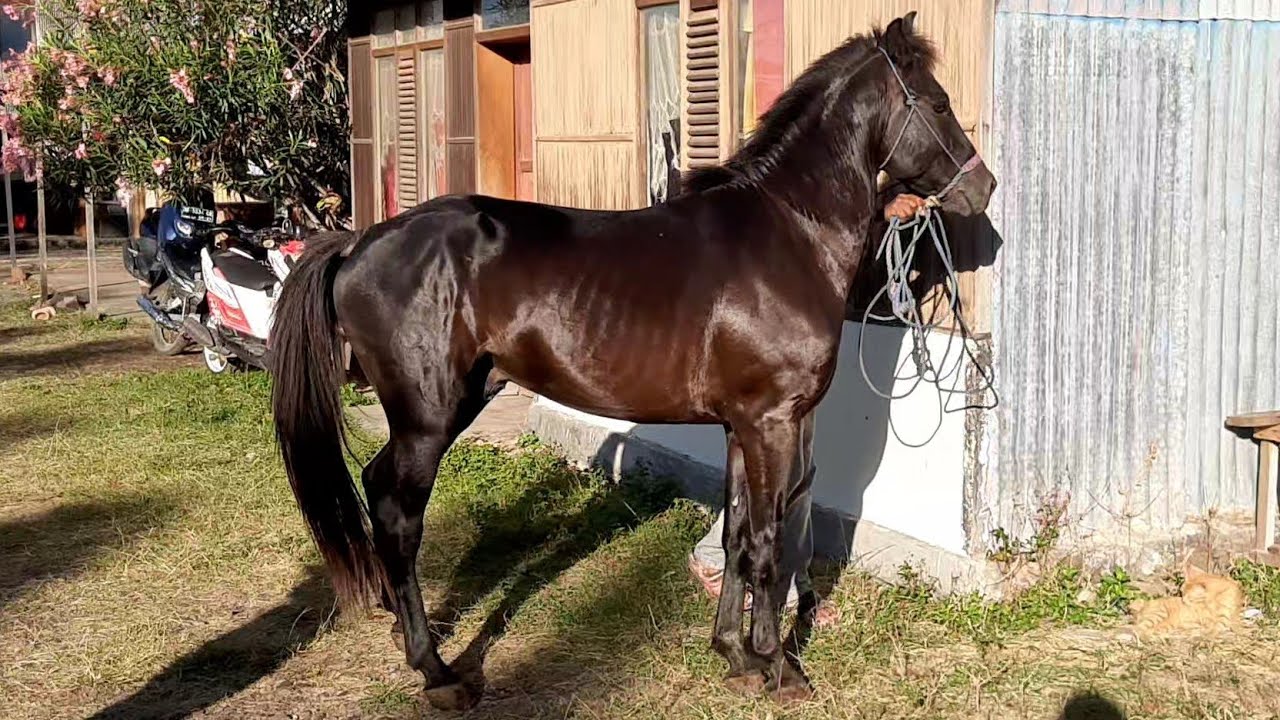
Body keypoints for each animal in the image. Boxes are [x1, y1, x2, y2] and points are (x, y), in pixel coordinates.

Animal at [271, 12, 995, 710]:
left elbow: (735, 538)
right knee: (398, 515)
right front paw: (778, 666)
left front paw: (732, 656)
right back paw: (437, 671)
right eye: (937, 102)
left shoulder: (739, 426)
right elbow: (766, 542)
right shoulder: (774, 423)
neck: (789, 231)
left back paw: (403, 632)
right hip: (427, 419)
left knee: (376, 489)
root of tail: (361, 242)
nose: (983, 189)